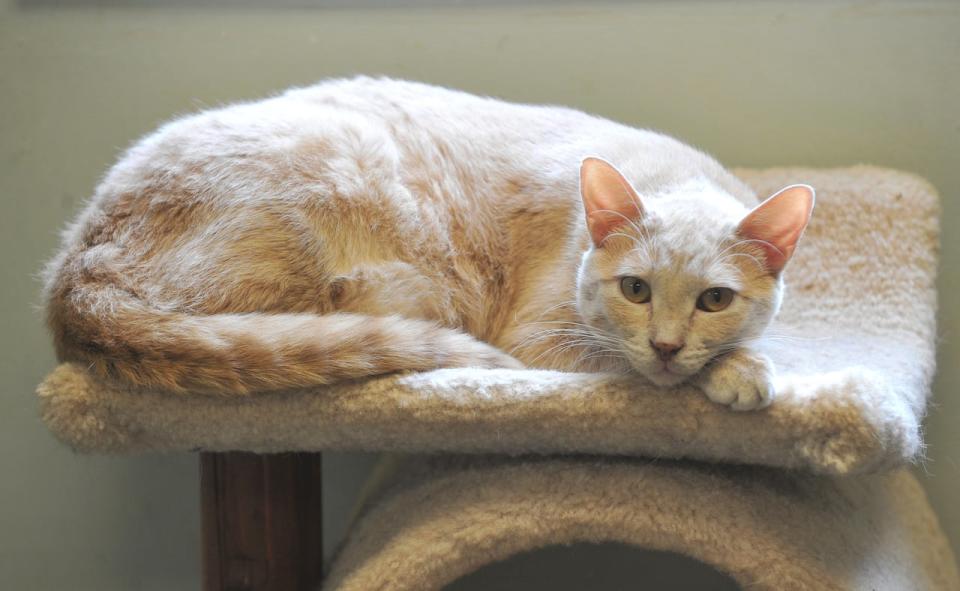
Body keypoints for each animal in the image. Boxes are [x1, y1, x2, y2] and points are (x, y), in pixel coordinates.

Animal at [43, 76, 808, 412]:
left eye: (715, 299)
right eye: (635, 289)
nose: (668, 345)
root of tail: (76, 263)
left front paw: (733, 359)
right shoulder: (540, 339)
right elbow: (625, 366)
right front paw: (739, 372)